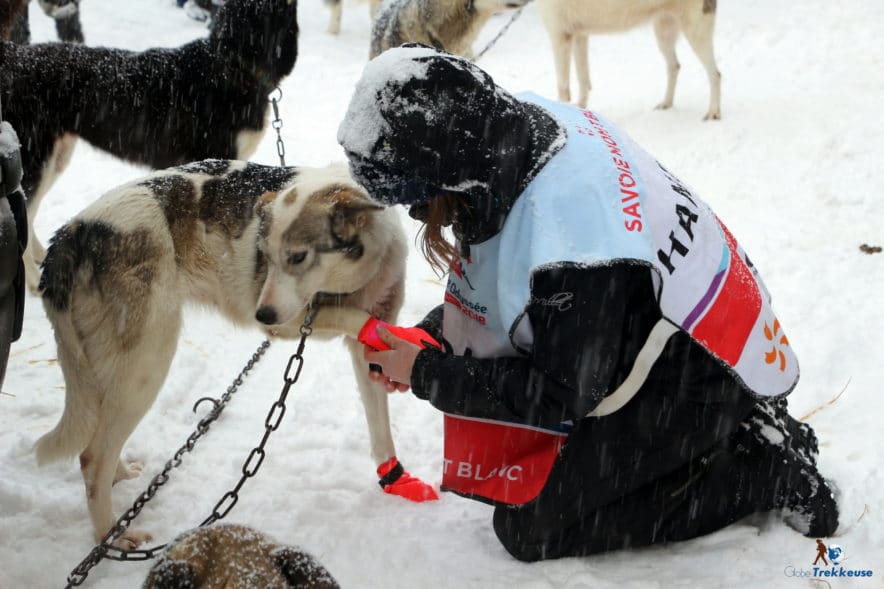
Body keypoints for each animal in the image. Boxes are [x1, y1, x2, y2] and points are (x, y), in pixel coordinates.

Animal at [0, 0, 300, 292]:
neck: (232, 64)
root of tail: (13, 56)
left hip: (56, 157)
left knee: (29, 213)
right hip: (35, 159)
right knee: (23, 214)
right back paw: (32, 281)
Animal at [34, 160, 408, 548]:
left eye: (298, 257)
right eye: (266, 257)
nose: (261, 315)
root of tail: (75, 230)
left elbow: (381, 425)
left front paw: (395, 476)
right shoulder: (292, 322)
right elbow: (360, 320)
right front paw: (393, 334)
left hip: (111, 373)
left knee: (101, 442)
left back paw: (120, 476)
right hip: (147, 364)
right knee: (92, 456)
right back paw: (110, 535)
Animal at [536, 0, 720, 120]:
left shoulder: (560, 36)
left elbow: (563, 88)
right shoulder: (579, 35)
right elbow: (583, 80)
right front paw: (581, 109)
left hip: (696, 33)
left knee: (715, 74)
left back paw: (714, 112)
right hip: (664, 34)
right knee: (674, 66)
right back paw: (666, 103)